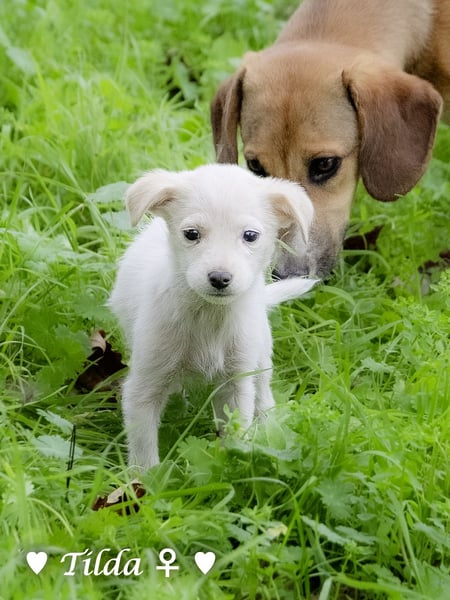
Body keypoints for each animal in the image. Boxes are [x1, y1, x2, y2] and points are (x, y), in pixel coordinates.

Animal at [109, 164, 317, 469]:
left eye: (250, 236)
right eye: (191, 234)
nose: (219, 278)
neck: (209, 316)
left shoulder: (236, 382)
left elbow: (235, 432)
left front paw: (235, 462)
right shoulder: (143, 384)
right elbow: (144, 447)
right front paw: (144, 480)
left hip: (259, 353)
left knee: (263, 392)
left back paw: (269, 429)